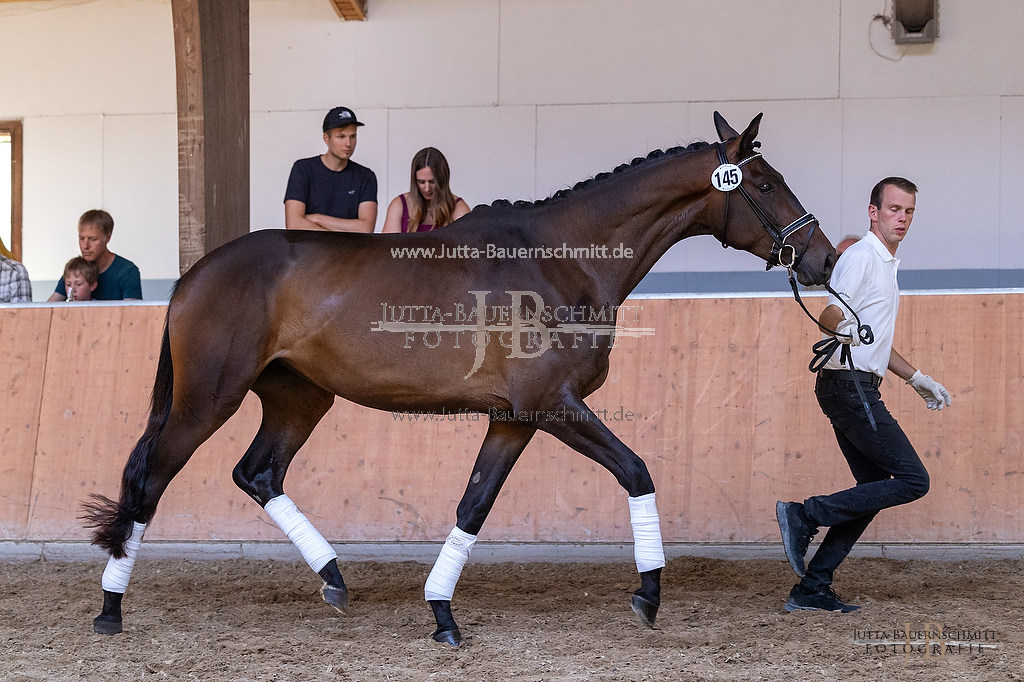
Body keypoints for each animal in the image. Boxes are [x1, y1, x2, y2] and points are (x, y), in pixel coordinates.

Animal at [83, 111, 835, 643]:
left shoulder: (515, 417)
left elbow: (473, 506)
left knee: (258, 472)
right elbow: (637, 471)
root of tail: (196, 273)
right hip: (206, 399)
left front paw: (442, 614)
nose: (822, 258)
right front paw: (648, 596)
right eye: (765, 184)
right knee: (150, 481)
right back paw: (110, 609)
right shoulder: (552, 406)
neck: (559, 259)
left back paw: (334, 578)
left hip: (300, 398)